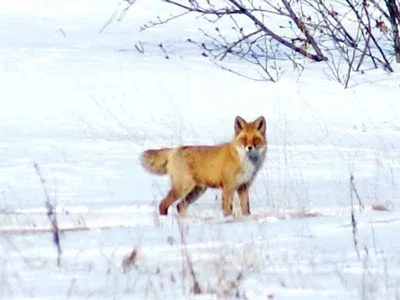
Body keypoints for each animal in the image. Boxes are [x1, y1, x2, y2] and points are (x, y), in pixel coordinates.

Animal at [139, 116, 268, 217]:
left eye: (255, 139)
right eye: (244, 139)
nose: (249, 148)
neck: (245, 162)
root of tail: (174, 150)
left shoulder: (243, 187)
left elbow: (246, 210)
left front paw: (246, 220)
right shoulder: (228, 187)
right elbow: (227, 210)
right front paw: (228, 221)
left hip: (197, 191)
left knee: (179, 206)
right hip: (183, 188)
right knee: (163, 204)